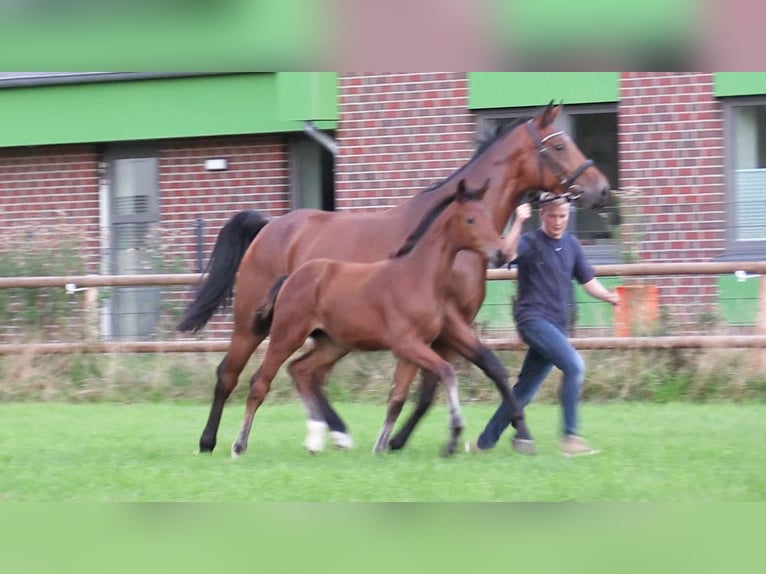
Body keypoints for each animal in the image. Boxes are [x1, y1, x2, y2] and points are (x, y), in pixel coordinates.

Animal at [230, 179, 511, 457]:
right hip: (286, 336)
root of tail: (291, 277)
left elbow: (397, 398)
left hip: (332, 344)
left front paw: (381, 446)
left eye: (489, 216)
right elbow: (447, 371)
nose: (501, 253)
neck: (417, 276)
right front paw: (454, 433)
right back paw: (239, 445)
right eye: (470, 219)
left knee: (300, 370)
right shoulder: (406, 344)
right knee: (259, 382)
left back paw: (315, 439)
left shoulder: (413, 349)